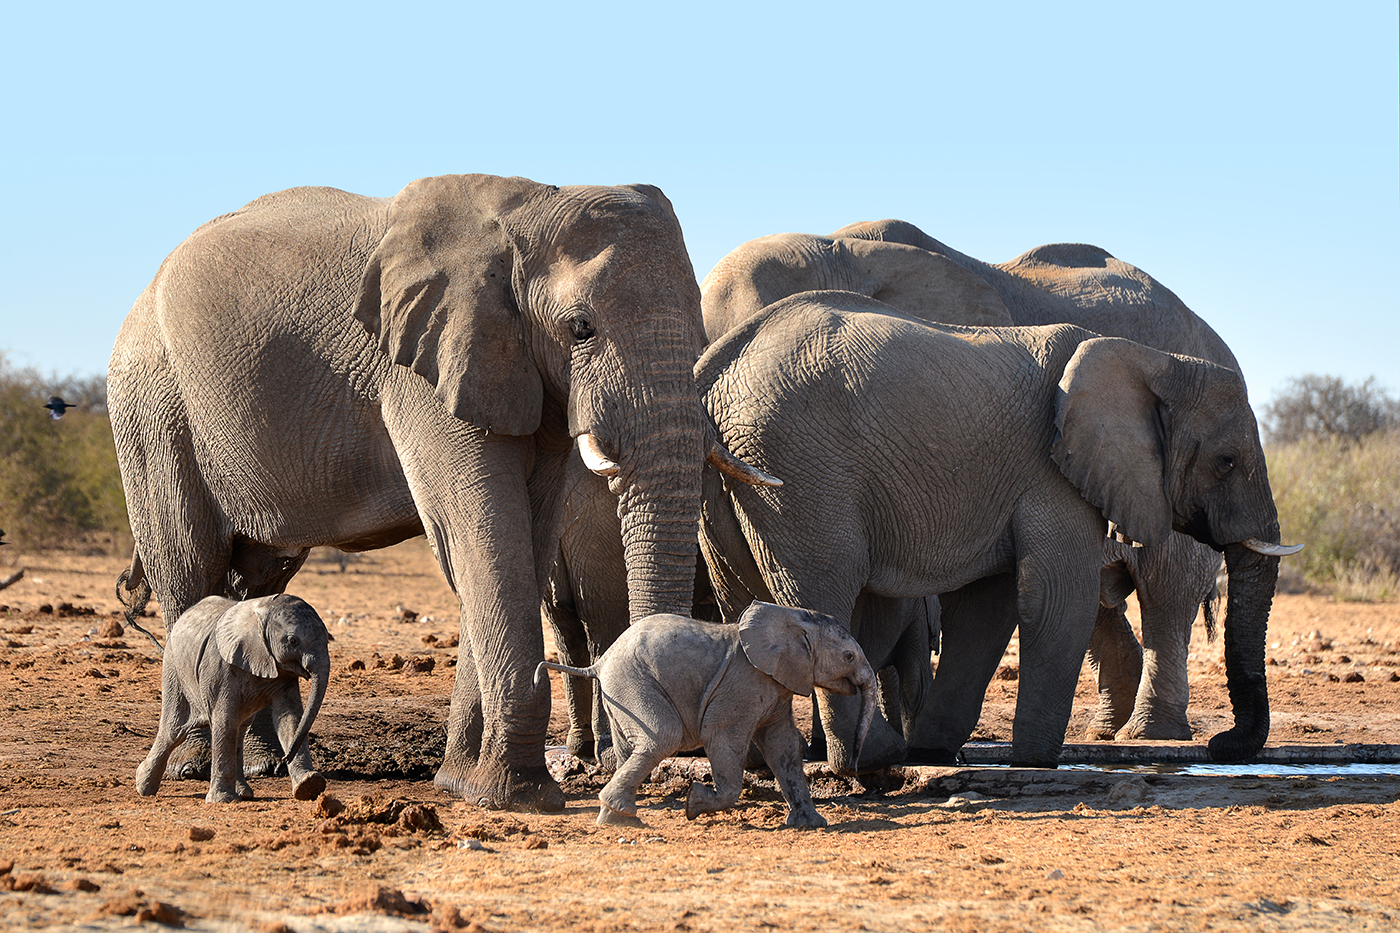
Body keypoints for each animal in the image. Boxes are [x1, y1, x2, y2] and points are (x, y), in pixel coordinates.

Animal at [135, 596, 333, 801]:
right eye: (293, 641)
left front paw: (309, 786)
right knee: (174, 730)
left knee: (240, 729)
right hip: (174, 668)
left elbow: (290, 717)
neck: (263, 611)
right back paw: (143, 787)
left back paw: (244, 793)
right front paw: (222, 800)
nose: (284, 759)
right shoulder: (220, 666)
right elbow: (225, 719)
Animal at [534, 602, 873, 829]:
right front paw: (693, 803)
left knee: (628, 749)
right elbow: (723, 737)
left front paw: (812, 824)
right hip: (633, 682)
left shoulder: (777, 686)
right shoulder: (743, 683)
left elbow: (783, 747)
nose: (854, 767)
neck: (791, 616)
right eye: (848, 656)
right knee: (664, 736)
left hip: (619, 692)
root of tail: (600, 662)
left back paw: (617, 820)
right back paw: (624, 817)